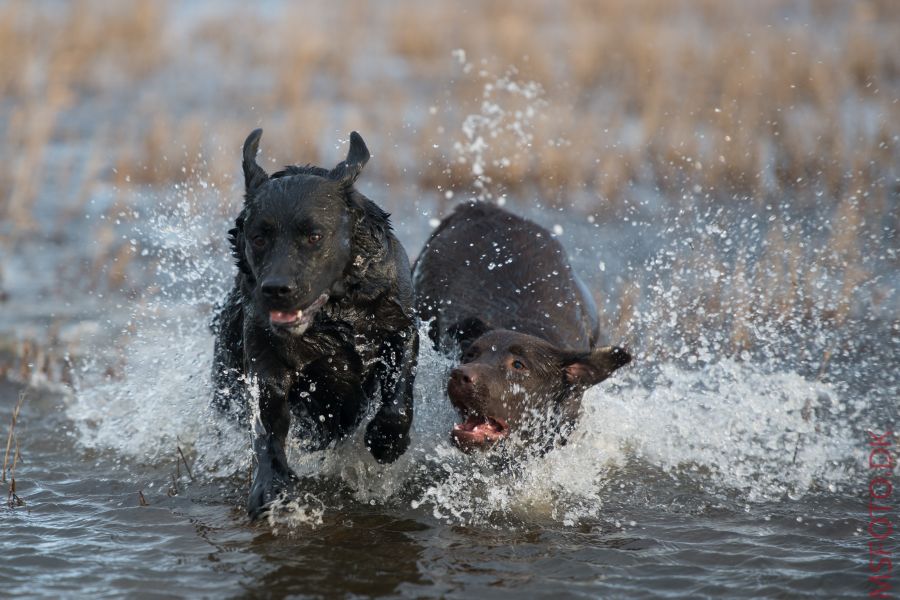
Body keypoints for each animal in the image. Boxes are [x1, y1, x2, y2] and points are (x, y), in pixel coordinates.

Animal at [214, 129, 418, 516]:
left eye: (314, 236)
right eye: (258, 237)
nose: (276, 289)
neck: (334, 316)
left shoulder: (401, 329)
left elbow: (399, 392)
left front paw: (386, 439)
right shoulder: (265, 361)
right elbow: (267, 426)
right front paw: (270, 486)